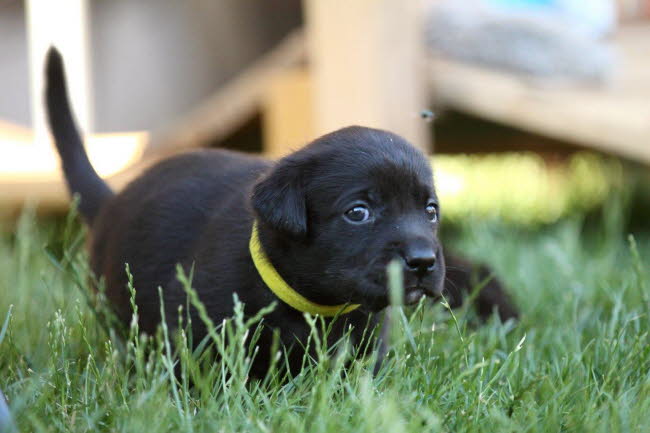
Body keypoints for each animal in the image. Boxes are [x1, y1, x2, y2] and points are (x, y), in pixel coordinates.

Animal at [44, 49, 512, 376]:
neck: (315, 305)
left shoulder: (365, 341)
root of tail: (111, 202)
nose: (423, 261)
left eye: (430, 210)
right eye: (358, 212)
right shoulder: (191, 327)